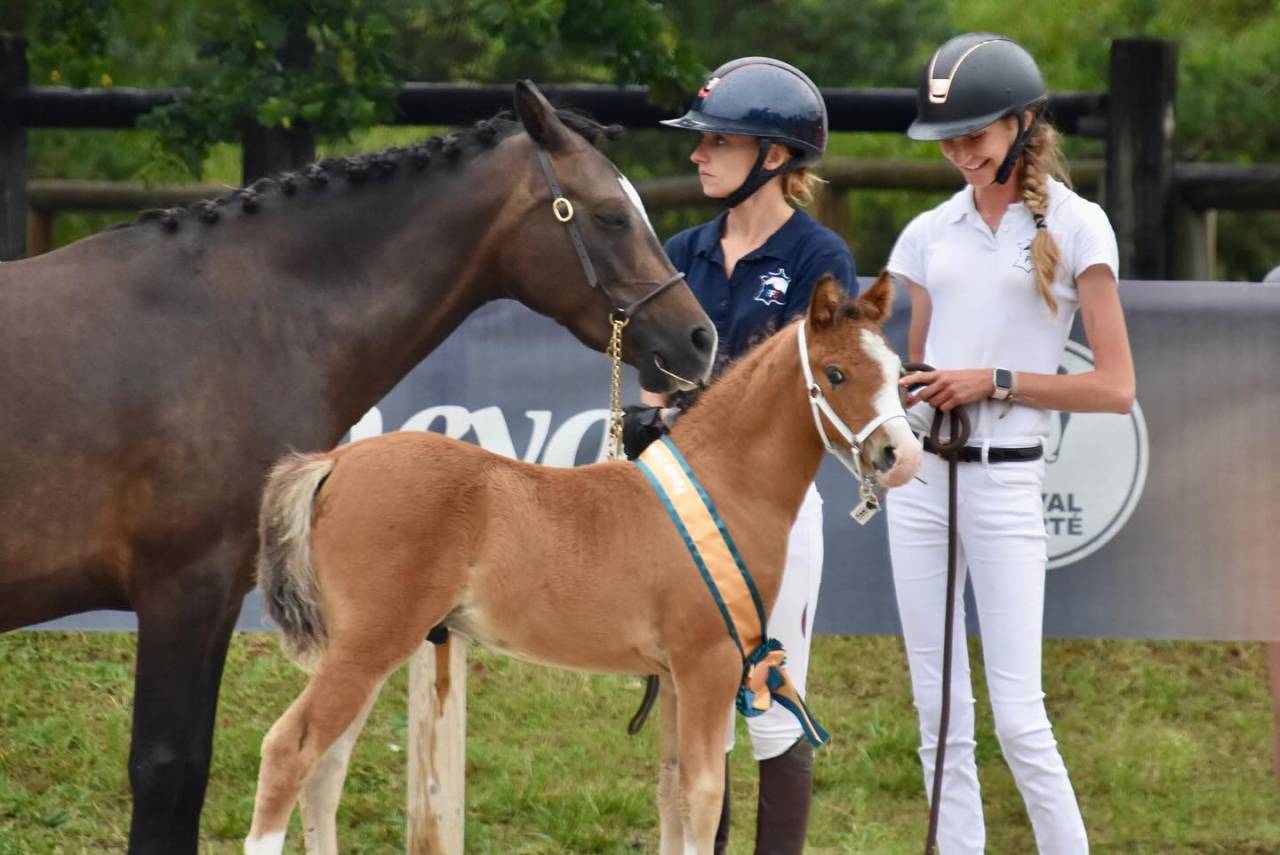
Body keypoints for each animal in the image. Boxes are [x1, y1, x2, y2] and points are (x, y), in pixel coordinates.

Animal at [0, 80, 716, 855]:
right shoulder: (181, 590)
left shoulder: (215, 599)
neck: (232, 325)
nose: (699, 337)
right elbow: (168, 771)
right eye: (612, 214)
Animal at [244, 273, 924, 855]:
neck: (721, 486)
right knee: (290, 751)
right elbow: (704, 795)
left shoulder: (673, 677)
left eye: (897, 372)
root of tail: (334, 461)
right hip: (370, 645)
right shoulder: (709, 664)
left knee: (325, 767)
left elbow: (673, 792)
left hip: (364, 648)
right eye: (835, 373)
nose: (903, 455)